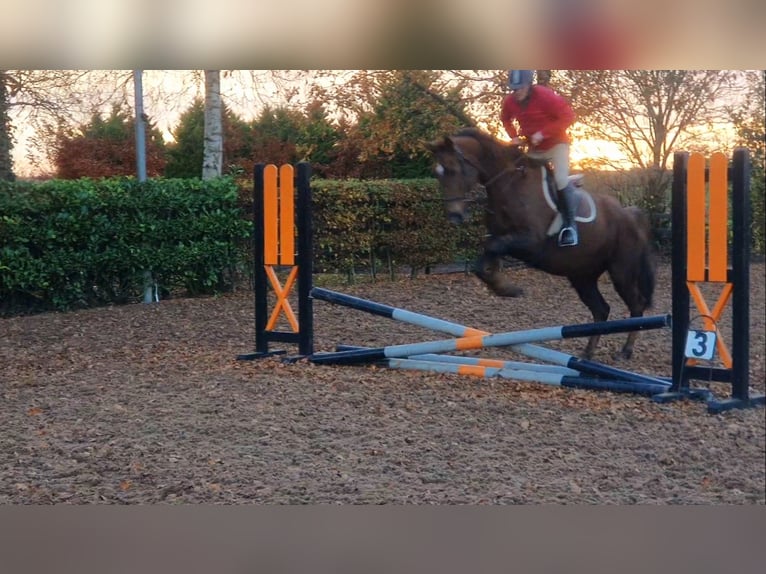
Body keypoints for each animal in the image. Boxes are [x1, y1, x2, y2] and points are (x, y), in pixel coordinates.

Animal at [424, 127, 656, 360]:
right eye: (437, 173)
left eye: (453, 170)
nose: (455, 216)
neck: (509, 185)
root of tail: (629, 214)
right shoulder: (499, 238)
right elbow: (483, 260)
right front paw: (503, 287)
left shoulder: (530, 243)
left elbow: (492, 249)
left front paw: (507, 288)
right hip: (582, 275)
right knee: (601, 309)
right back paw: (587, 353)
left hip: (621, 272)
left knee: (636, 305)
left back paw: (625, 351)